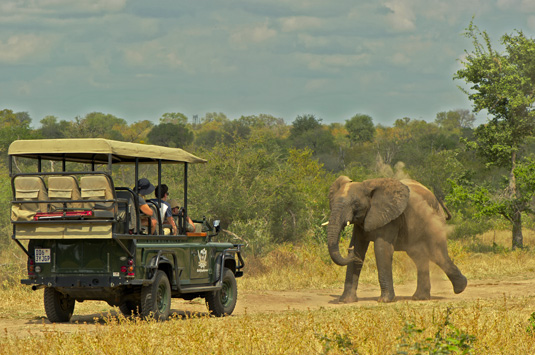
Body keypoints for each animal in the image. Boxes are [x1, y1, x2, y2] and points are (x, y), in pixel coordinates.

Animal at [328, 177, 466, 304]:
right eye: (332, 202)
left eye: (356, 204)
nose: (348, 250)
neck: (367, 185)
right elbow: (358, 248)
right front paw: (345, 301)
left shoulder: (390, 218)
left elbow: (381, 249)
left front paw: (385, 301)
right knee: (419, 256)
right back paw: (420, 297)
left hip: (435, 221)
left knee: (437, 253)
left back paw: (460, 288)